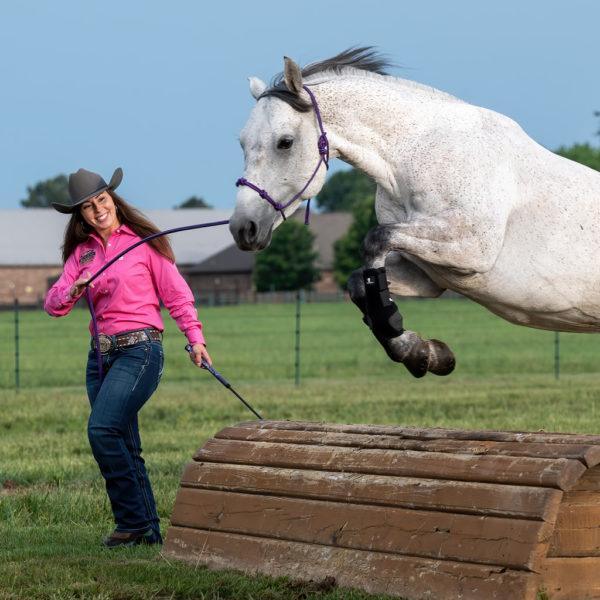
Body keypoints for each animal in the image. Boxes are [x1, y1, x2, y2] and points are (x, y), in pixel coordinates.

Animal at [229, 47, 600, 378]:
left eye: (285, 142)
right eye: (242, 143)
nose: (243, 229)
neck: (415, 158)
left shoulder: (470, 249)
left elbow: (374, 240)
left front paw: (416, 348)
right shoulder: (427, 272)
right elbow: (359, 282)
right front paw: (423, 353)